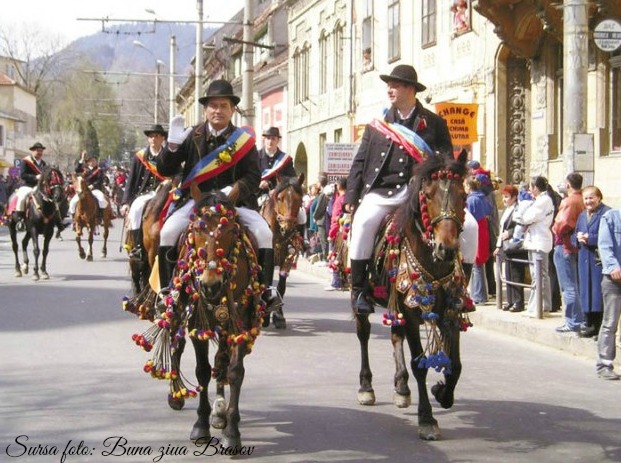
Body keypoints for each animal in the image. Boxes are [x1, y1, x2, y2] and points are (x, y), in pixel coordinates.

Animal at [124, 185, 262, 450]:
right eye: (197, 229)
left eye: (231, 229)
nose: (210, 285)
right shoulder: (197, 323)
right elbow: (202, 371)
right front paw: (201, 425)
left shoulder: (240, 323)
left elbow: (234, 371)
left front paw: (231, 430)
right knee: (176, 345)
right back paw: (175, 395)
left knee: (221, 359)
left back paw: (219, 411)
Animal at [258, 174, 304, 330]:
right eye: (279, 198)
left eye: (300, 200)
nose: (287, 229)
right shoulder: (269, 258)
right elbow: (266, 282)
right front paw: (265, 314)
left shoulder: (288, 257)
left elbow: (281, 286)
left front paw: (278, 316)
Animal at [356, 151, 472, 442]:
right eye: (427, 196)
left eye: (463, 195)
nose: (447, 248)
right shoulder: (410, 312)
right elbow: (420, 364)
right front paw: (427, 419)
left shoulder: (450, 310)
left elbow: (456, 364)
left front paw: (442, 393)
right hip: (361, 299)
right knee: (363, 334)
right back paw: (366, 387)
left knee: (395, 336)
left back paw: (401, 388)